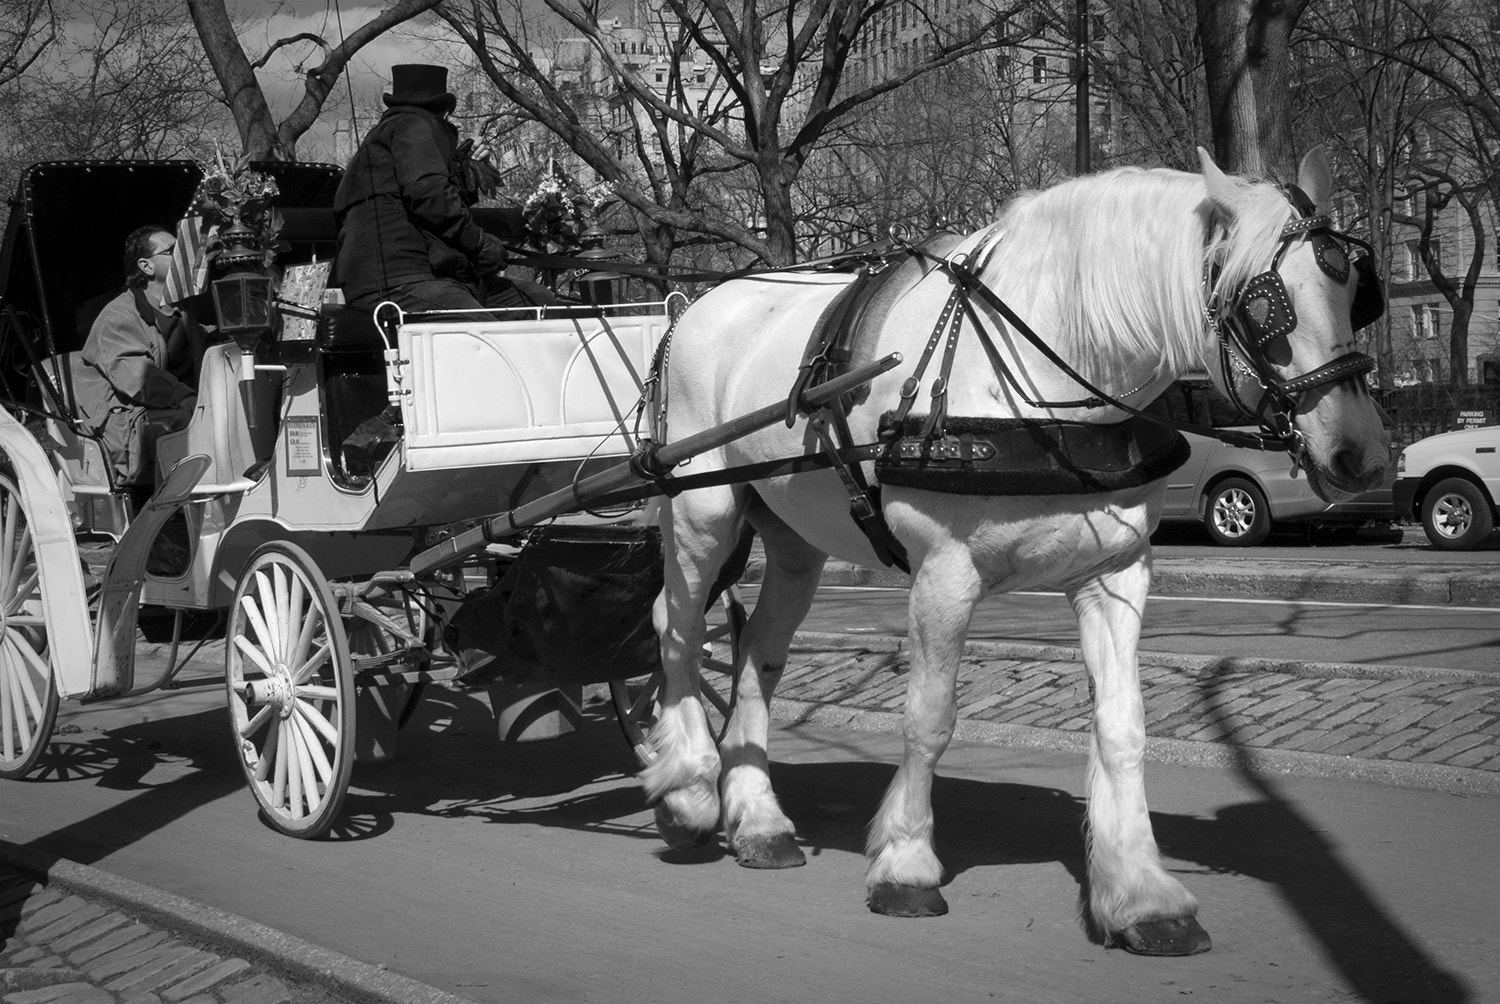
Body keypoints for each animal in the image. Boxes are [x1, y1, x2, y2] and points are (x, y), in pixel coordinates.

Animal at [639, 147, 1389, 956]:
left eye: (1356, 292)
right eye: (1265, 305)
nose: (1363, 455)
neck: (1046, 386)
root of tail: (693, 309)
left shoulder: (1114, 575)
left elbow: (1122, 728)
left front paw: (1141, 894)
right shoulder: (943, 574)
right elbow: (930, 718)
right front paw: (907, 863)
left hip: (794, 543)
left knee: (756, 658)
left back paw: (758, 820)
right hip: (702, 514)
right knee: (677, 632)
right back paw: (687, 788)